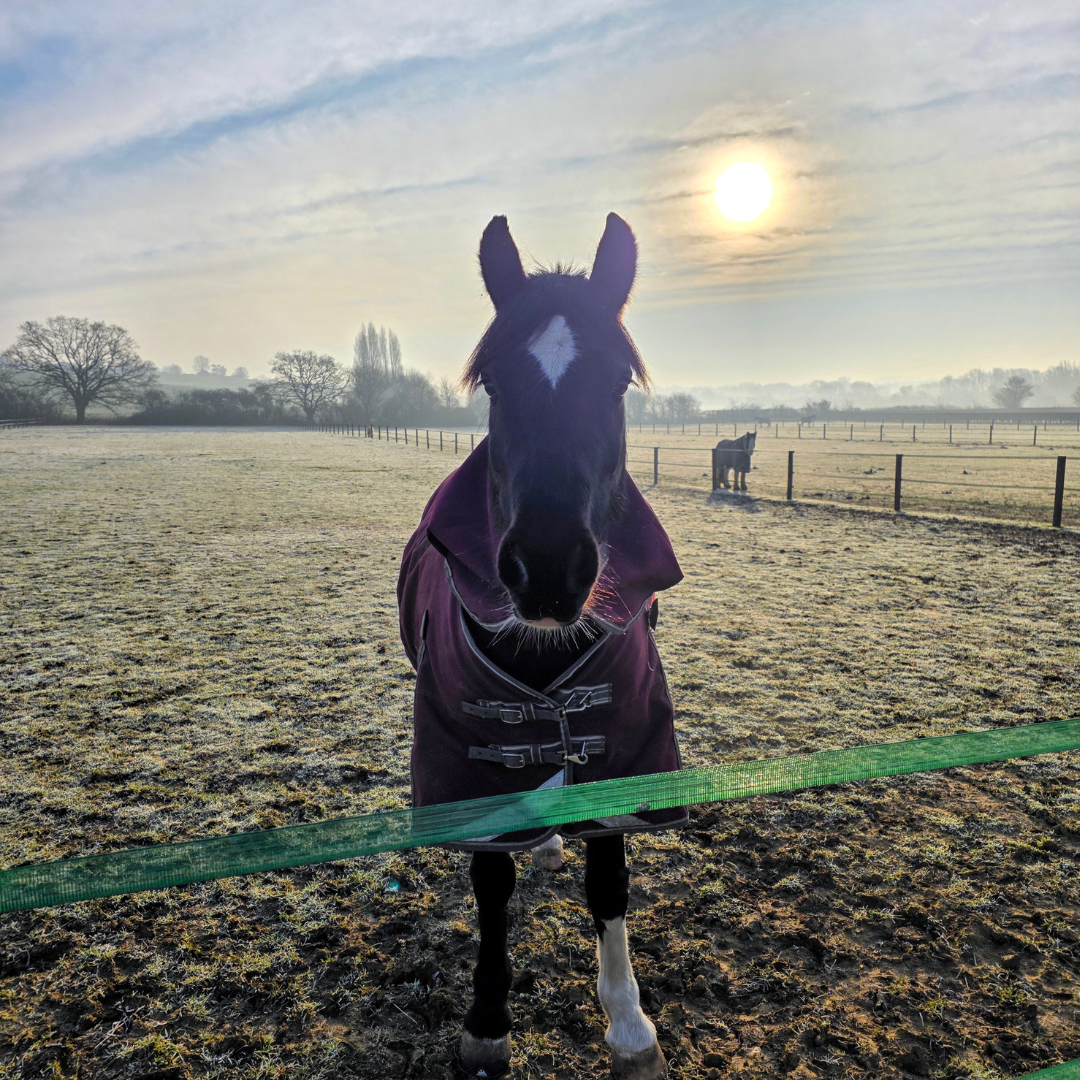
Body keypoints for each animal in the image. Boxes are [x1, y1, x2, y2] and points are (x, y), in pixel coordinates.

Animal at [397, 213, 685, 1079]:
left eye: (618, 382)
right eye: (493, 382)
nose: (550, 567)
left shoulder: (622, 746)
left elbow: (610, 881)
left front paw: (629, 1025)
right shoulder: (471, 763)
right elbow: (491, 885)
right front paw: (488, 1024)